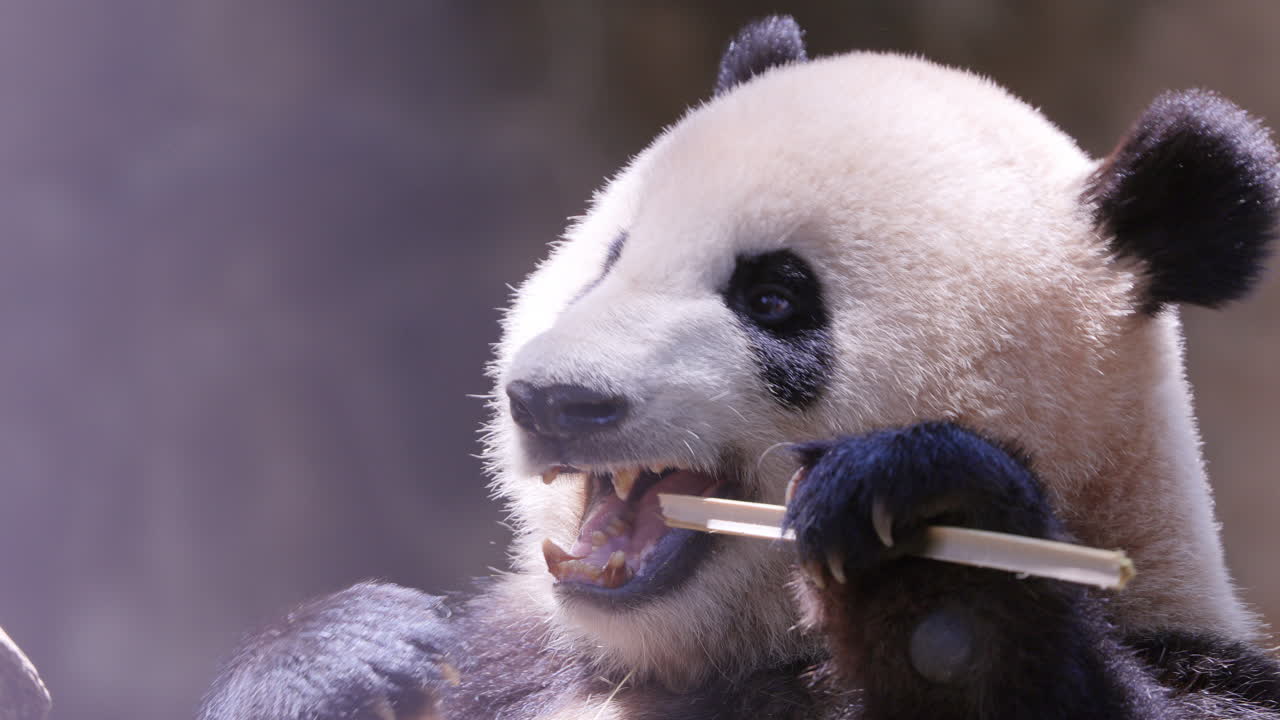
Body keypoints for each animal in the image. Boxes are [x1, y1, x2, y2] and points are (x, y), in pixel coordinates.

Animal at [199, 16, 1280, 720]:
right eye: (612, 257)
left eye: (774, 298)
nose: (556, 401)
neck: (671, 661)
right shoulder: (517, 661)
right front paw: (343, 653)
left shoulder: (1190, 659)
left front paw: (920, 513)